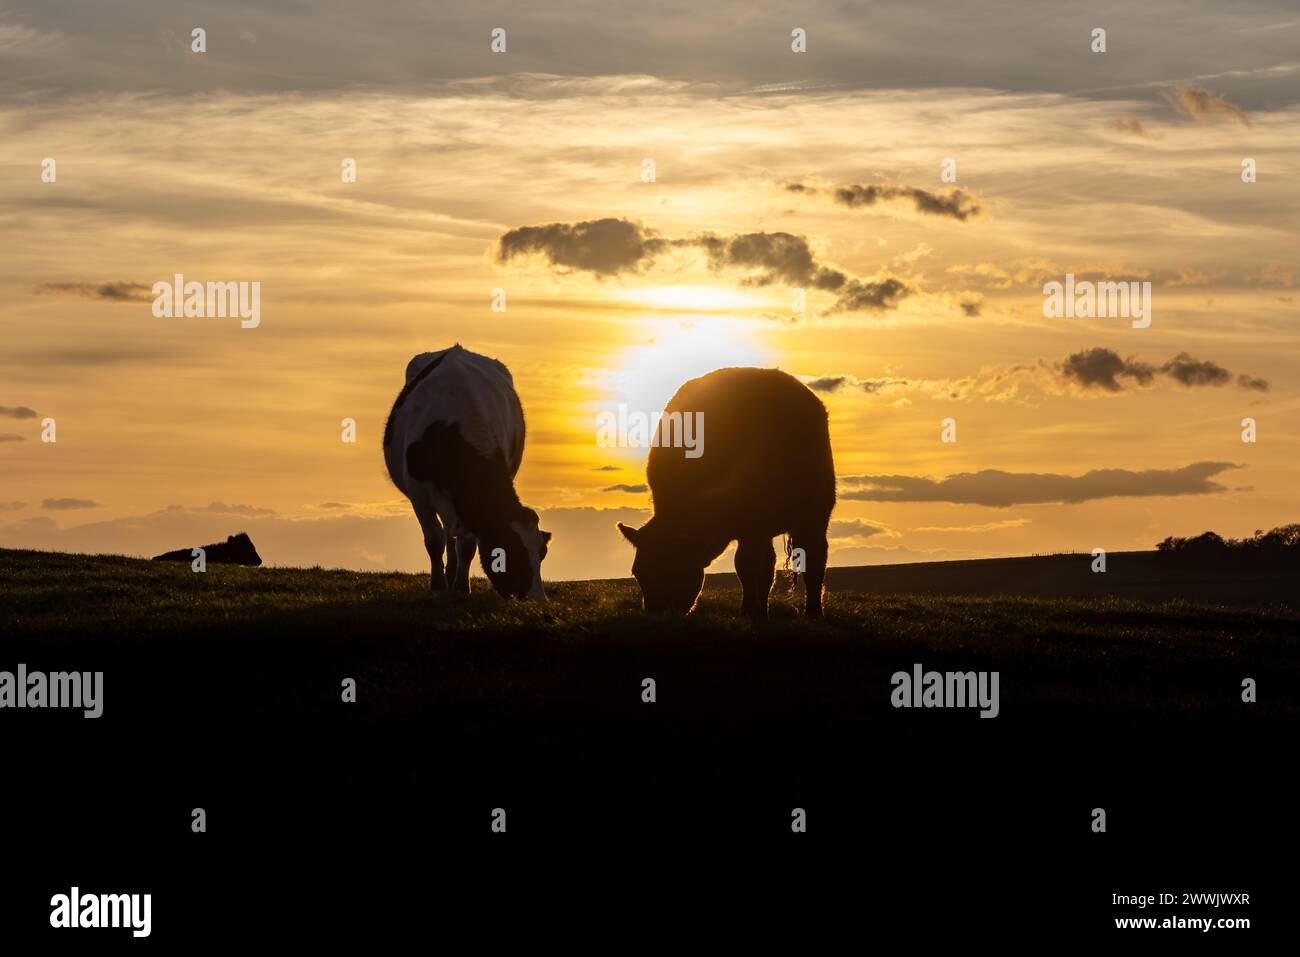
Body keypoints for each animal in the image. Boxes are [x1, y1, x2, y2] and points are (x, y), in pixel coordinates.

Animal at [383, 344, 550, 598]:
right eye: (511, 551)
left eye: (542, 553)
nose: (538, 599)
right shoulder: (419, 494)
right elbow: (434, 541)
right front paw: (438, 586)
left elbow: (467, 546)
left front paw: (461, 587)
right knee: (445, 534)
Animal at [617, 367, 835, 618]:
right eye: (637, 572)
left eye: (672, 568)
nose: (656, 614)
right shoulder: (749, 529)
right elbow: (749, 568)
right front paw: (752, 611)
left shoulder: (760, 524)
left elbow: (756, 566)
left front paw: (756, 612)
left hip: (814, 515)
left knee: (814, 558)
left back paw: (813, 612)